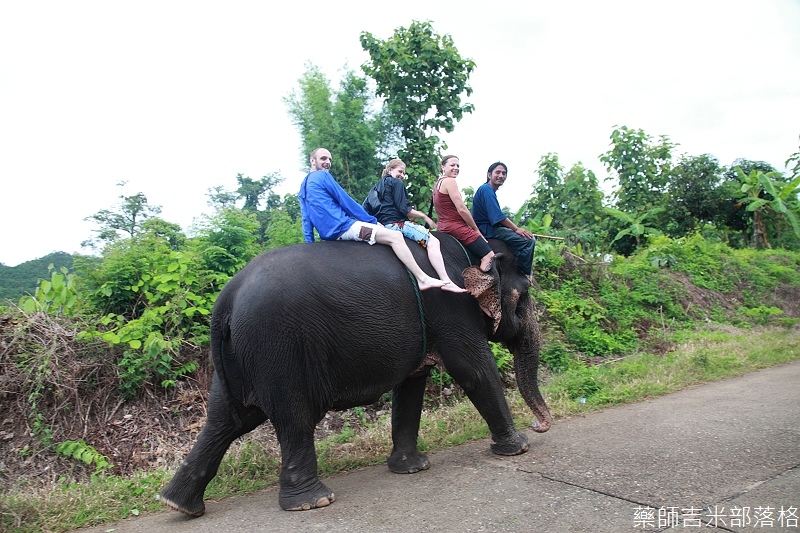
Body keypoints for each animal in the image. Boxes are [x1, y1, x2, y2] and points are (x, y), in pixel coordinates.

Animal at [159, 233, 552, 516]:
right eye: (525, 295)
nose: (539, 425)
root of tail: (225, 300)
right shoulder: (452, 307)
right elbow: (473, 368)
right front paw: (518, 448)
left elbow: (411, 386)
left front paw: (412, 469)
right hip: (276, 350)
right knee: (293, 418)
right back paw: (313, 503)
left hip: (241, 358)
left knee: (227, 420)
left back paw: (180, 505)